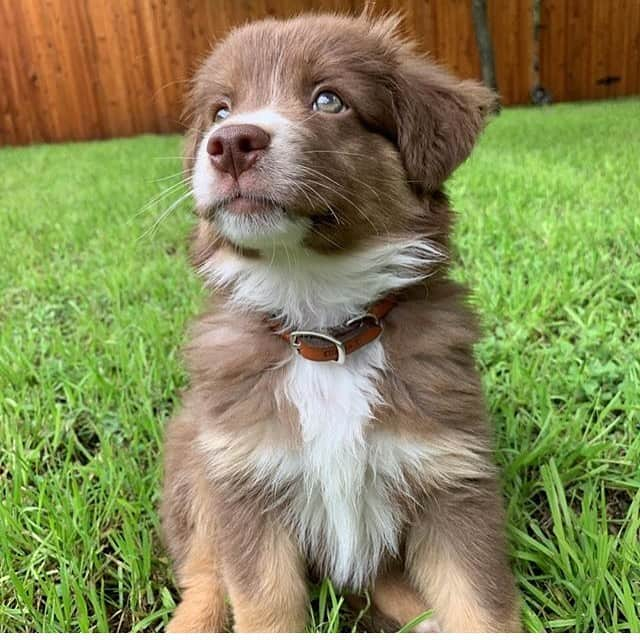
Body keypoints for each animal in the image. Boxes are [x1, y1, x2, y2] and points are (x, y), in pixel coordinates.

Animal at [159, 11, 520, 636]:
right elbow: (261, 603)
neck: (324, 331)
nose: (229, 144)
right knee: (203, 574)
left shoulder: (450, 478)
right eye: (221, 111)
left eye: (329, 100)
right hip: (195, 469)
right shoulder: (244, 481)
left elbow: (480, 605)